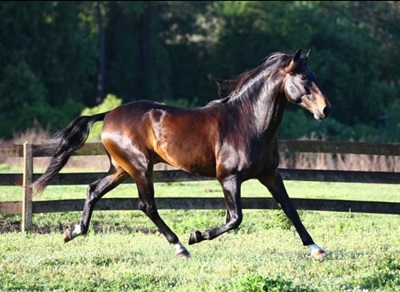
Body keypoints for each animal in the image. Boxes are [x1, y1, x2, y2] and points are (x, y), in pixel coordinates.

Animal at [31, 49, 332, 258]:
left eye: (316, 77)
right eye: (304, 79)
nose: (325, 109)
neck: (247, 122)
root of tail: (109, 115)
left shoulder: (269, 174)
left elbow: (290, 209)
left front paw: (316, 249)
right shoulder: (229, 178)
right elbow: (235, 218)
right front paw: (196, 235)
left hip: (120, 169)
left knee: (93, 189)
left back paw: (72, 232)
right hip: (140, 168)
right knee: (147, 205)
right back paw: (180, 247)